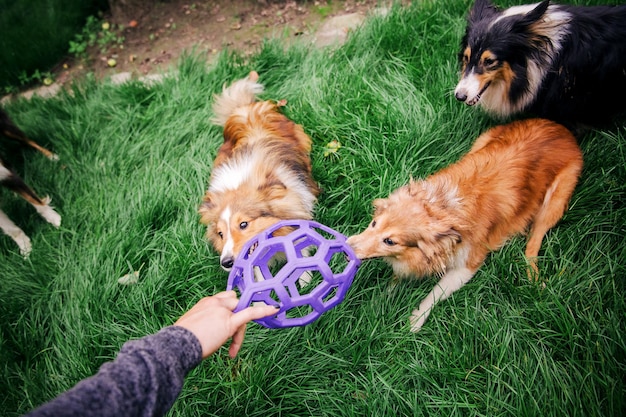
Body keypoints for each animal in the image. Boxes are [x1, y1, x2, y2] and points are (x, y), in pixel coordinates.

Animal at [0, 109, 61, 255]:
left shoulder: (5, 173)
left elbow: (35, 200)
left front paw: (55, 219)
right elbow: (10, 228)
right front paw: (25, 248)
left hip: (6, 127)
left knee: (26, 140)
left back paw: (52, 157)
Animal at [346, 118, 580, 334]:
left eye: (390, 241)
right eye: (374, 223)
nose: (347, 247)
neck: (442, 207)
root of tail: (560, 129)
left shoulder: (467, 267)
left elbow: (434, 293)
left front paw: (415, 320)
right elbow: (395, 279)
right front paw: (378, 302)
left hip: (554, 201)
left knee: (534, 241)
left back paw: (533, 277)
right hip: (482, 141)